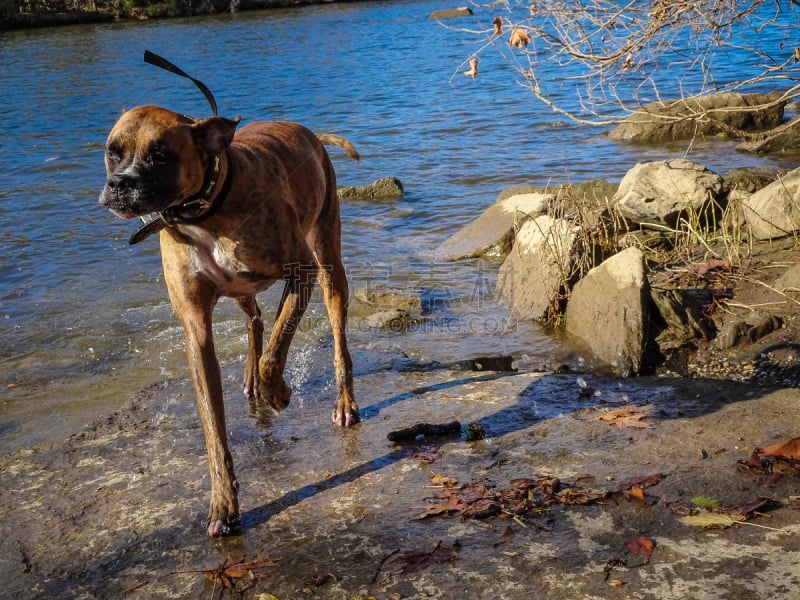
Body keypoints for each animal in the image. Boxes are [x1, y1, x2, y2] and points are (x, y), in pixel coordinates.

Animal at [99, 105, 360, 536]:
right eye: (112, 152)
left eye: (160, 155)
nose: (119, 183)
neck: (204, 211)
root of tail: (307, 132)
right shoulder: (197, 334)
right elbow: (213, 429)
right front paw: (223, 503)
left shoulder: (301, 271)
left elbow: (276, 350)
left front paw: (278, 393)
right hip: (243, 292)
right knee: (255, 322)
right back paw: (251, 379)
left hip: (328, 269)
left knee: (337, 345)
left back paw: (342, 403)